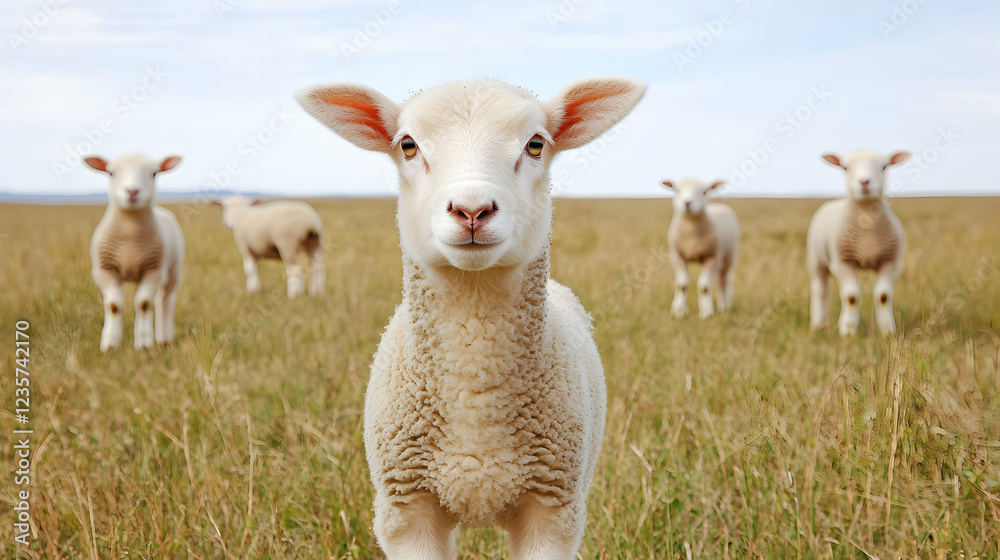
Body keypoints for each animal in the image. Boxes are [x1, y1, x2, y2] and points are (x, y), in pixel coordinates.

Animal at [84, 154, 185, 351]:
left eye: (154, 173)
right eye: (111, 173)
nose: (132, 191)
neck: (129, 234)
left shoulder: (154, 270)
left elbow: (144, 303)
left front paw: (144, 345)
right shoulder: (104, 270)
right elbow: (114, 305)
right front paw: (110, 345)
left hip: (173, 272)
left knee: (166, 301)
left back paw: (165, 339)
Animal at [661, 178, 740, 319]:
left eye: (704, 192)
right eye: (677, 190)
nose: (687, 203)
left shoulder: (712, 257)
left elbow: (704, 286)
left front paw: (706, 313)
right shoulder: (677, 257)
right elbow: (682, 285)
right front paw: (678, 311)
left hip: (729, 256)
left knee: (724, 280)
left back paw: (724, 306)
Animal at [807, 149, 910, 336]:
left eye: (884, 166)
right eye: (845, 168)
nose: (864, 181)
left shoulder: (890, 261)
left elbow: (883, 296)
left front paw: (887, 330)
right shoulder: (842, 262)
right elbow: (851, 296)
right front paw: (848, 330)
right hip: (816, 259)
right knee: (819, 288)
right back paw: (817, 324)